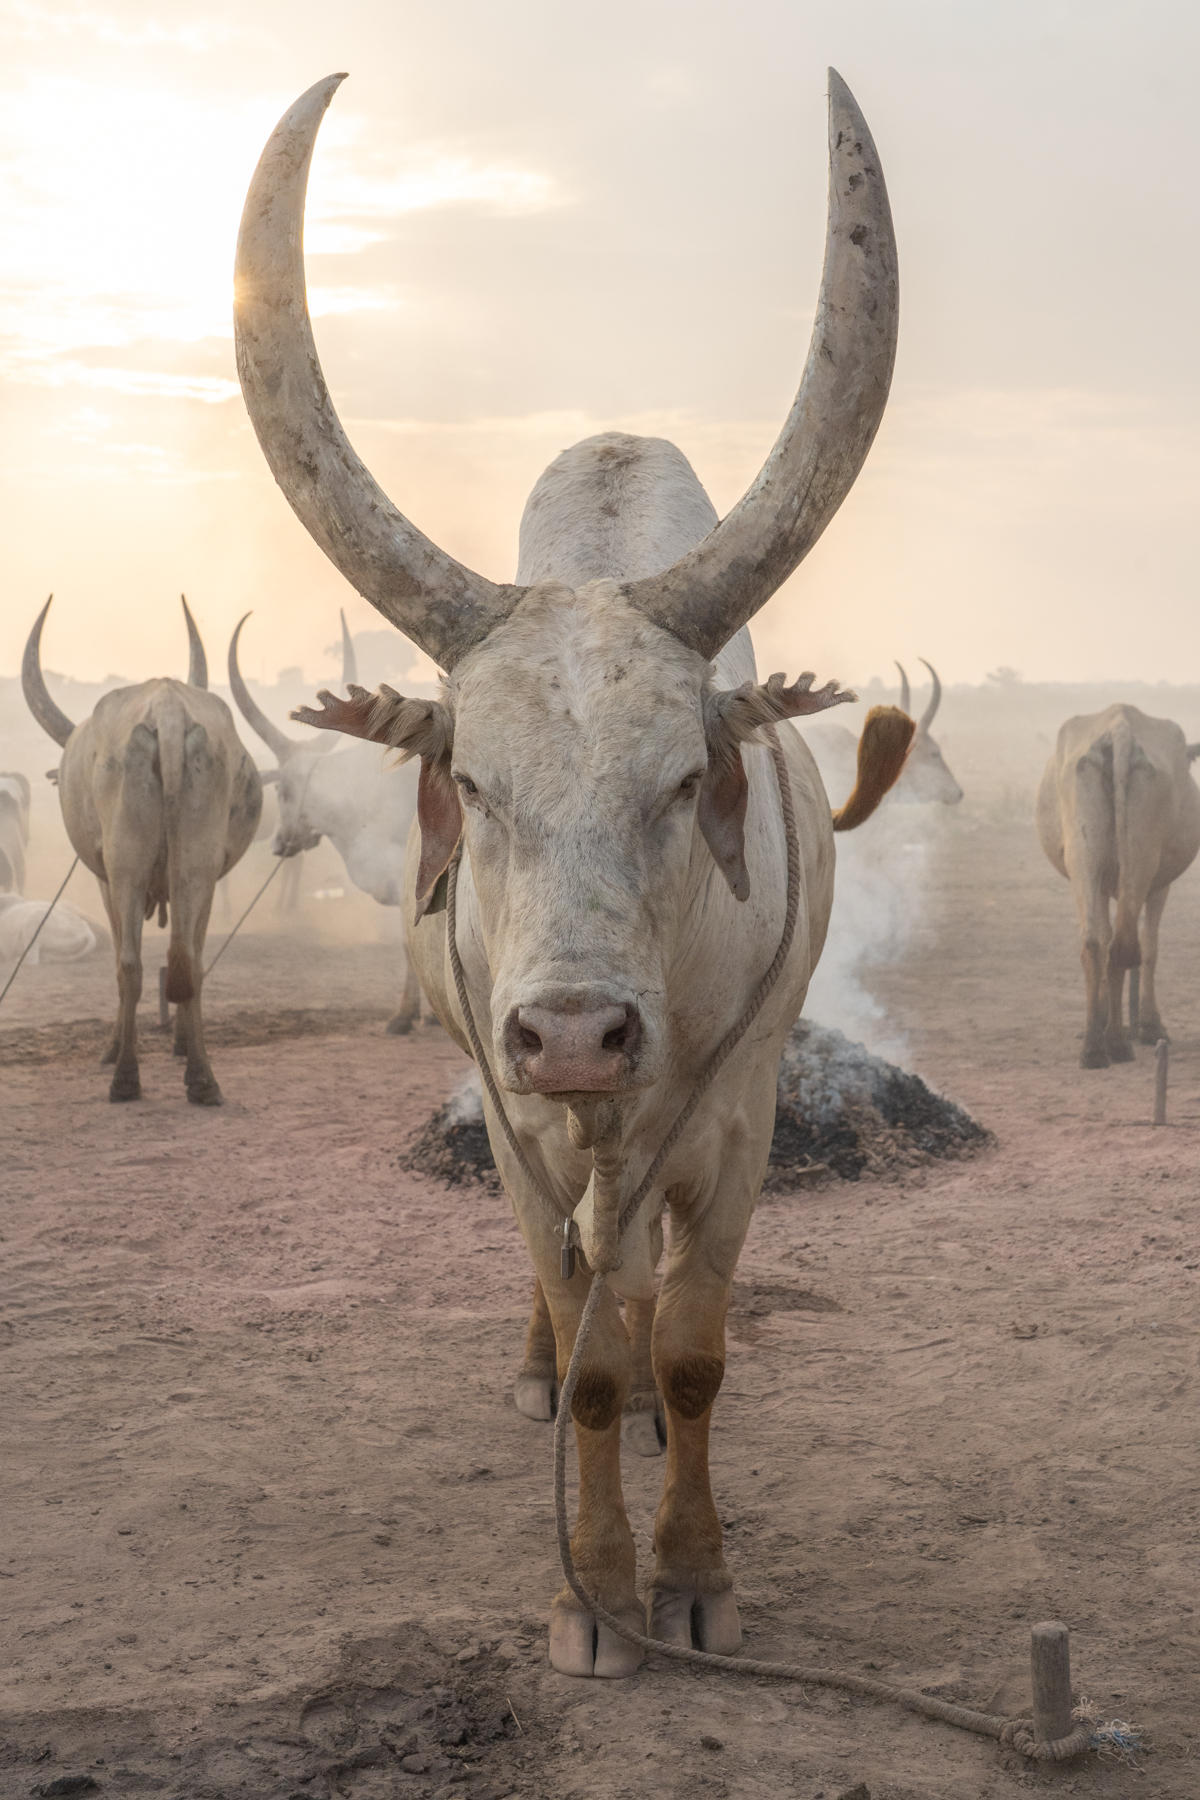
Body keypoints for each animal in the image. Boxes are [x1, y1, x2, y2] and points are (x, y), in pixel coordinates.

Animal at [22, 595, 262, 1103]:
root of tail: (167, 709)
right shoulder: (200, 881)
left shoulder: (104, 880)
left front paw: (115, 1047)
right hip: (194, 870)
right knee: (187, 960)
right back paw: (202, 1079)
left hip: (125, 873)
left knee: (129, 964)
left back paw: (125, 1076)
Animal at [1036, 704, 1200, 1067]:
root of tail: (1119, 729)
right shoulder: (1159, 885)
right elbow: (1150, 948)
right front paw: (1149, 1025)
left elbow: (1109, 936)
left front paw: (1102, 1019)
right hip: (1142, 858)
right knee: (1124, 945)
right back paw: (1116, 1042)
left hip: (1084, 853)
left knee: (1097, 943)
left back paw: (1096, 1046)